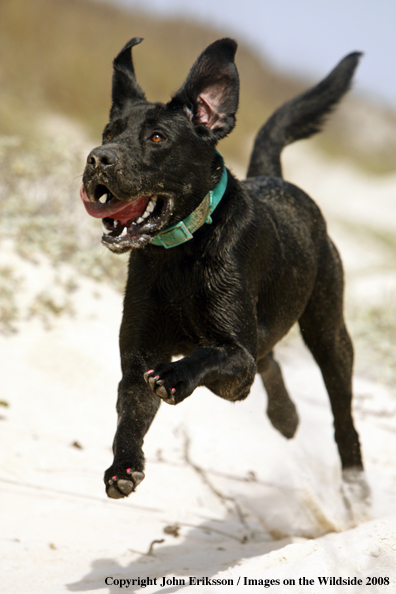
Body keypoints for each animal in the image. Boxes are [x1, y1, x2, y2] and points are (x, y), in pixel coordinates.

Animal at [81, 37, 366, 498]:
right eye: (109, 133)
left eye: (157, 137)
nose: (96, 159)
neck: (180, 256)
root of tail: (276, 178)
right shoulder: (139, 357)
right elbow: (130, 412)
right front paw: (123, 467)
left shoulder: (236, 361)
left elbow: (213, 353)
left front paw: (176, 375)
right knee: (270, 357)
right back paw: (286, 416)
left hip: (328, 330)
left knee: (342, 414)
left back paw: (356, 483)